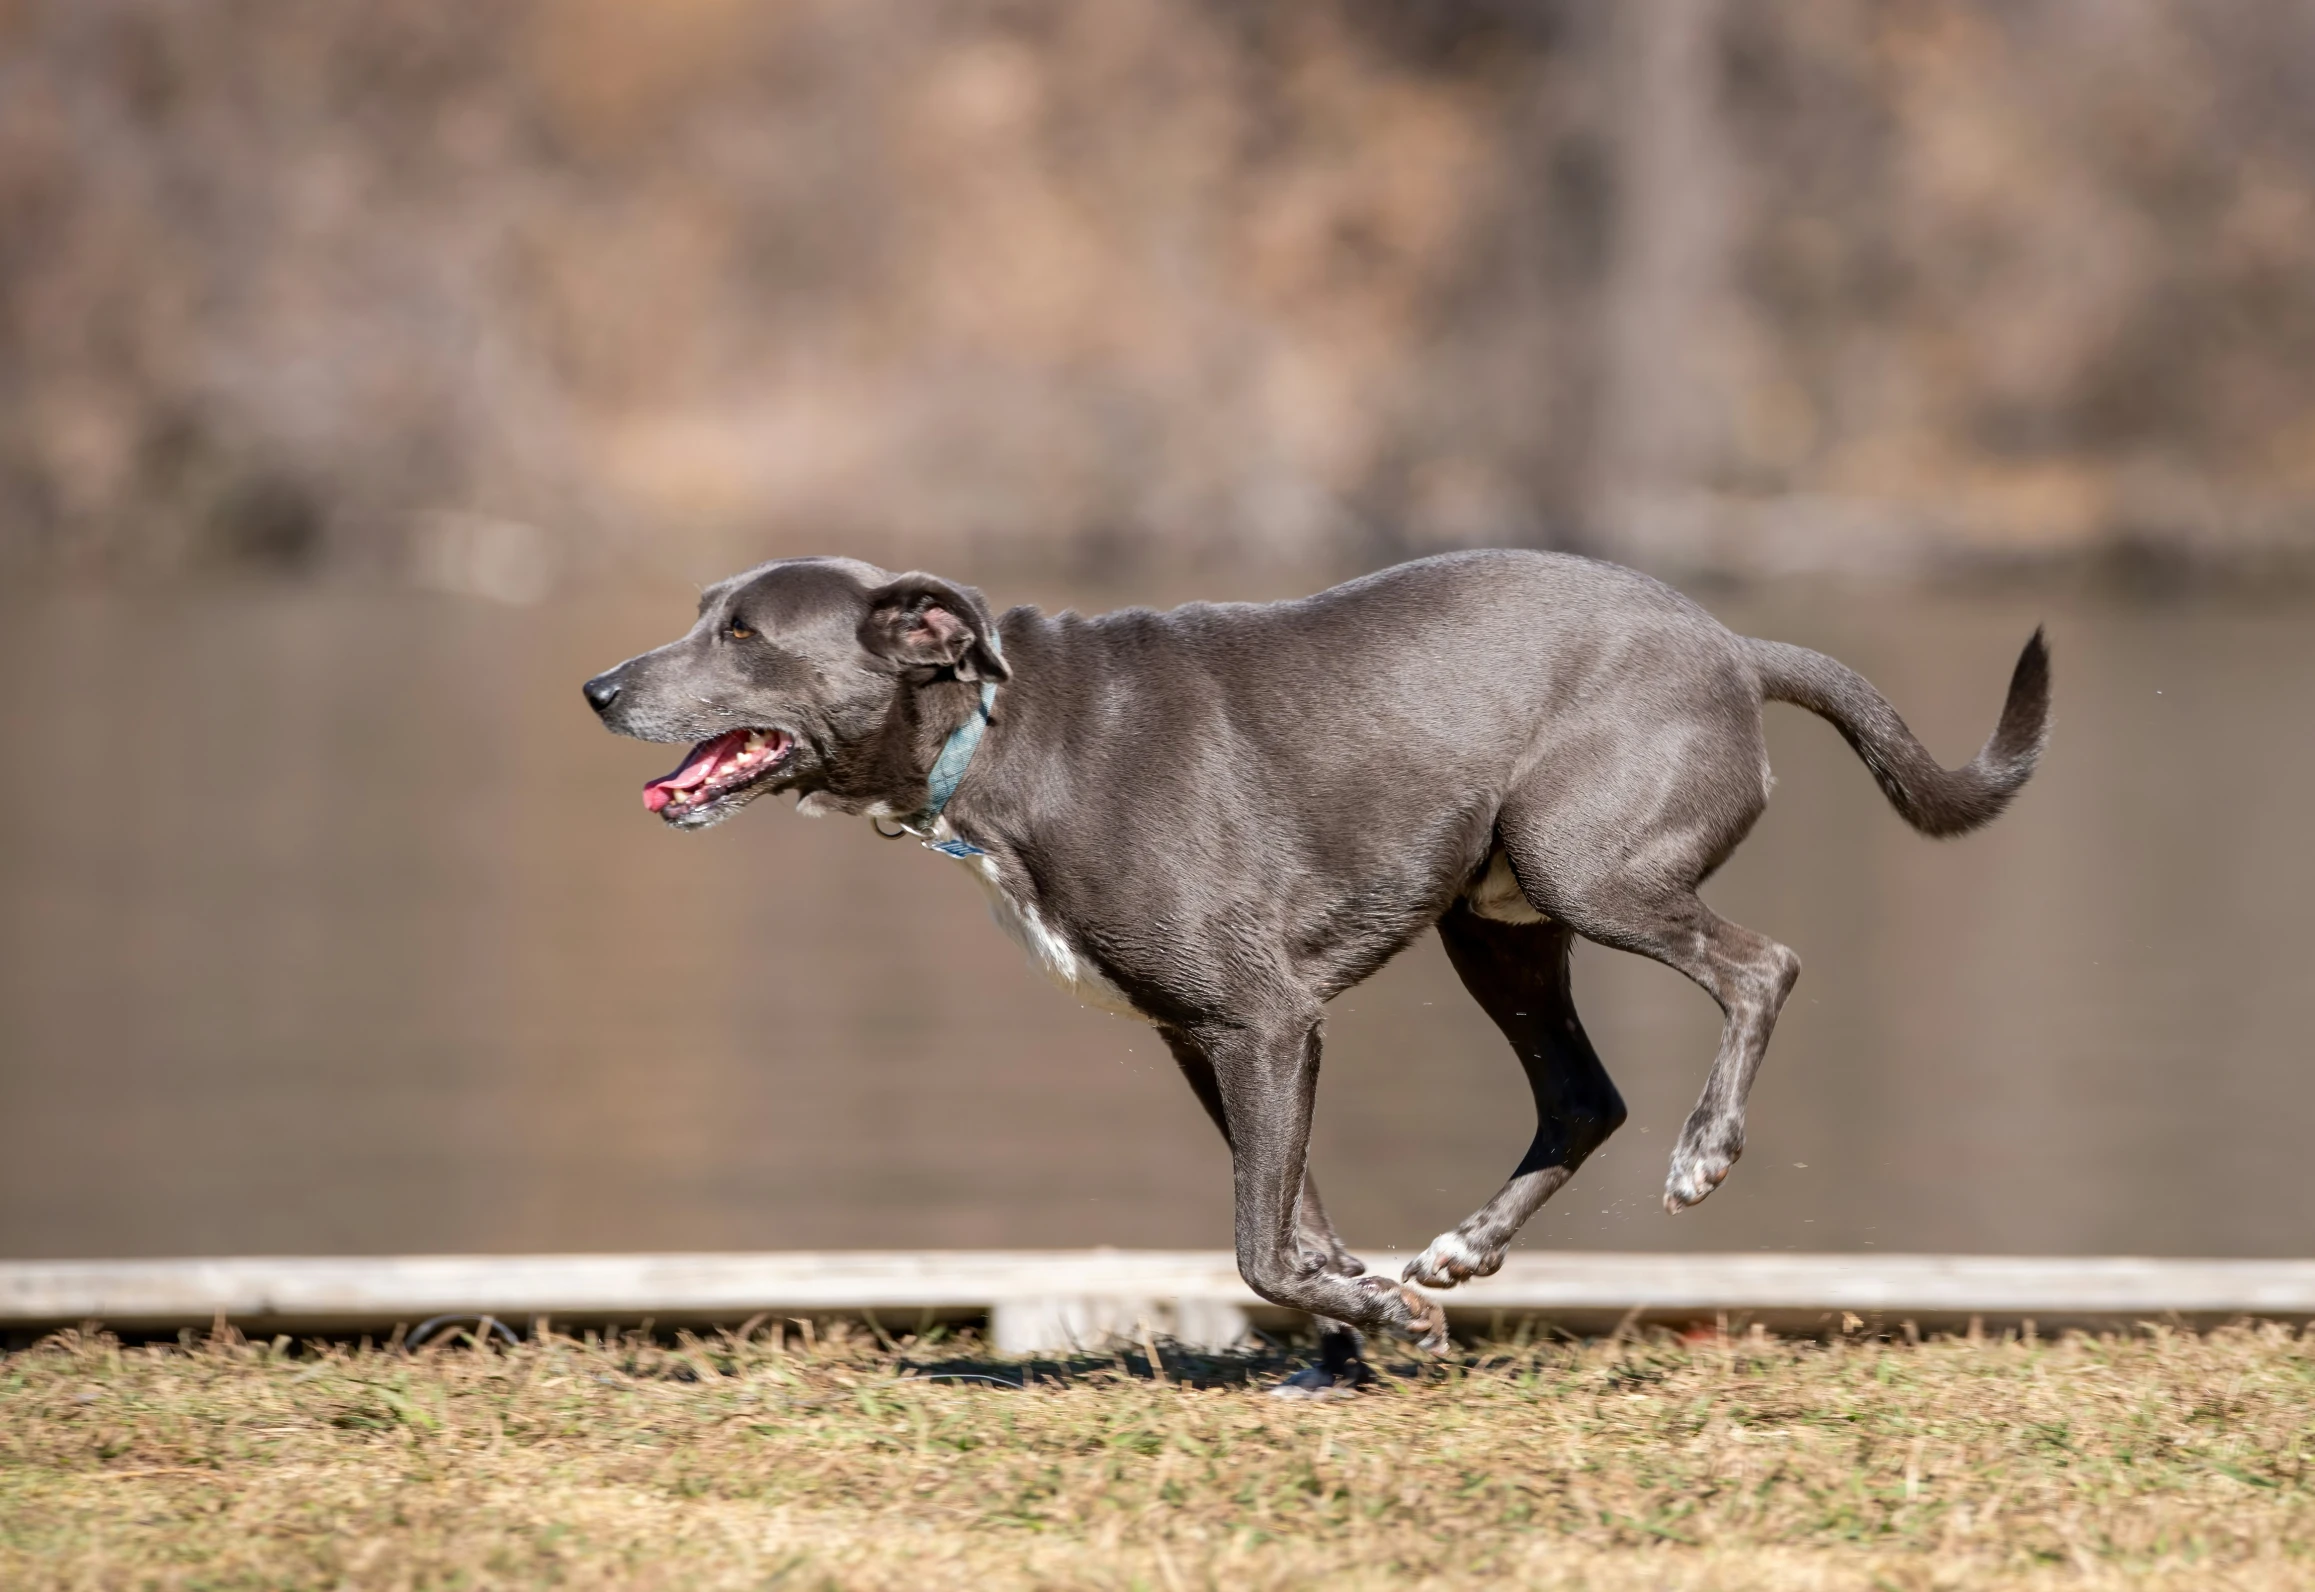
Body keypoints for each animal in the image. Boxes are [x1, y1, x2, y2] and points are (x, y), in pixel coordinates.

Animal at [578, 550, 2046, 1388]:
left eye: (746, 635)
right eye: (704, 616)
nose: (598, 687)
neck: (993, 734)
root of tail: (1736, 650)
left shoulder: (1262, 1019)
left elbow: (1255, 1248)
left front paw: (1380, 1320)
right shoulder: (1213, 1039)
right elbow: (1294, 1220)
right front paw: (1366, 1334)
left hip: (1587, 865)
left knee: (1759, 969)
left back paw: (1701, 1155)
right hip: (1494, 920)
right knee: (1581, 1094)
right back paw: (1458, 1252)